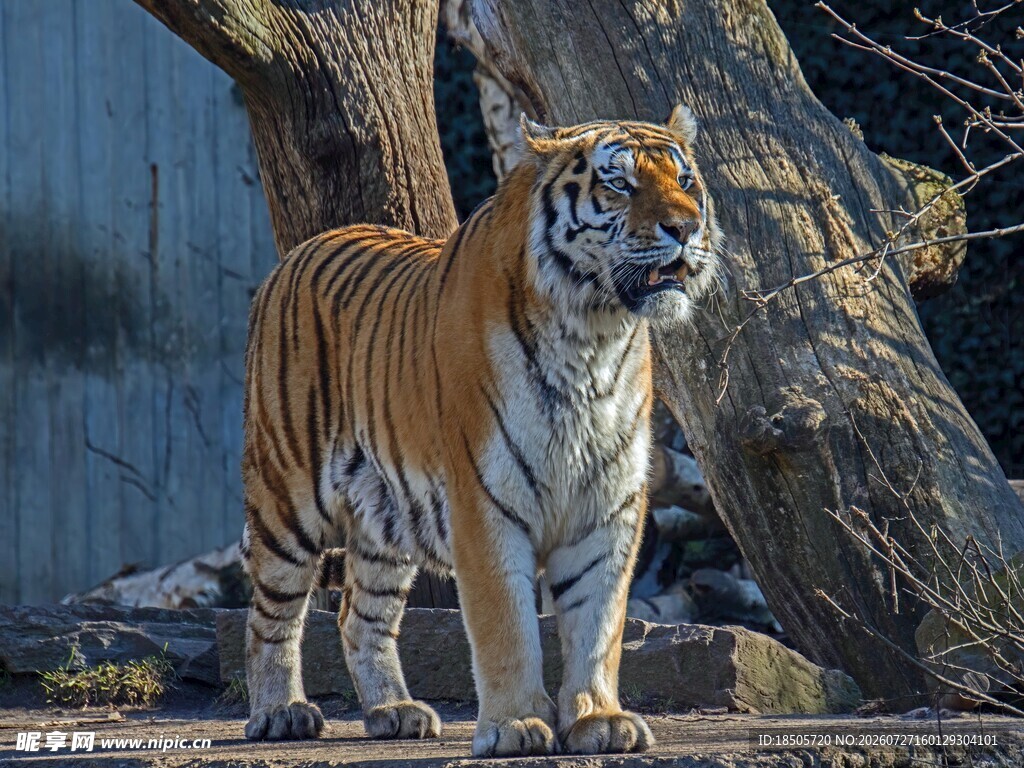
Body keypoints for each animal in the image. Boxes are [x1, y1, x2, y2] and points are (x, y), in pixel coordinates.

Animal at [240, 105, 722, 757]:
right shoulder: (486, 502)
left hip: (383, 518)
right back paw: (280, 712)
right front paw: (516, 725)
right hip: (287, 502)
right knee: (271, 613)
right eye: (620, 183)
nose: (686, 228)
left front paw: (598, 720)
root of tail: (295, 254)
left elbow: (598, 623)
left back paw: (395, 712)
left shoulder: (607, 505)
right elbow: (506, 625)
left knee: (359, 615)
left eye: (686, 181)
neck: (594, 334)